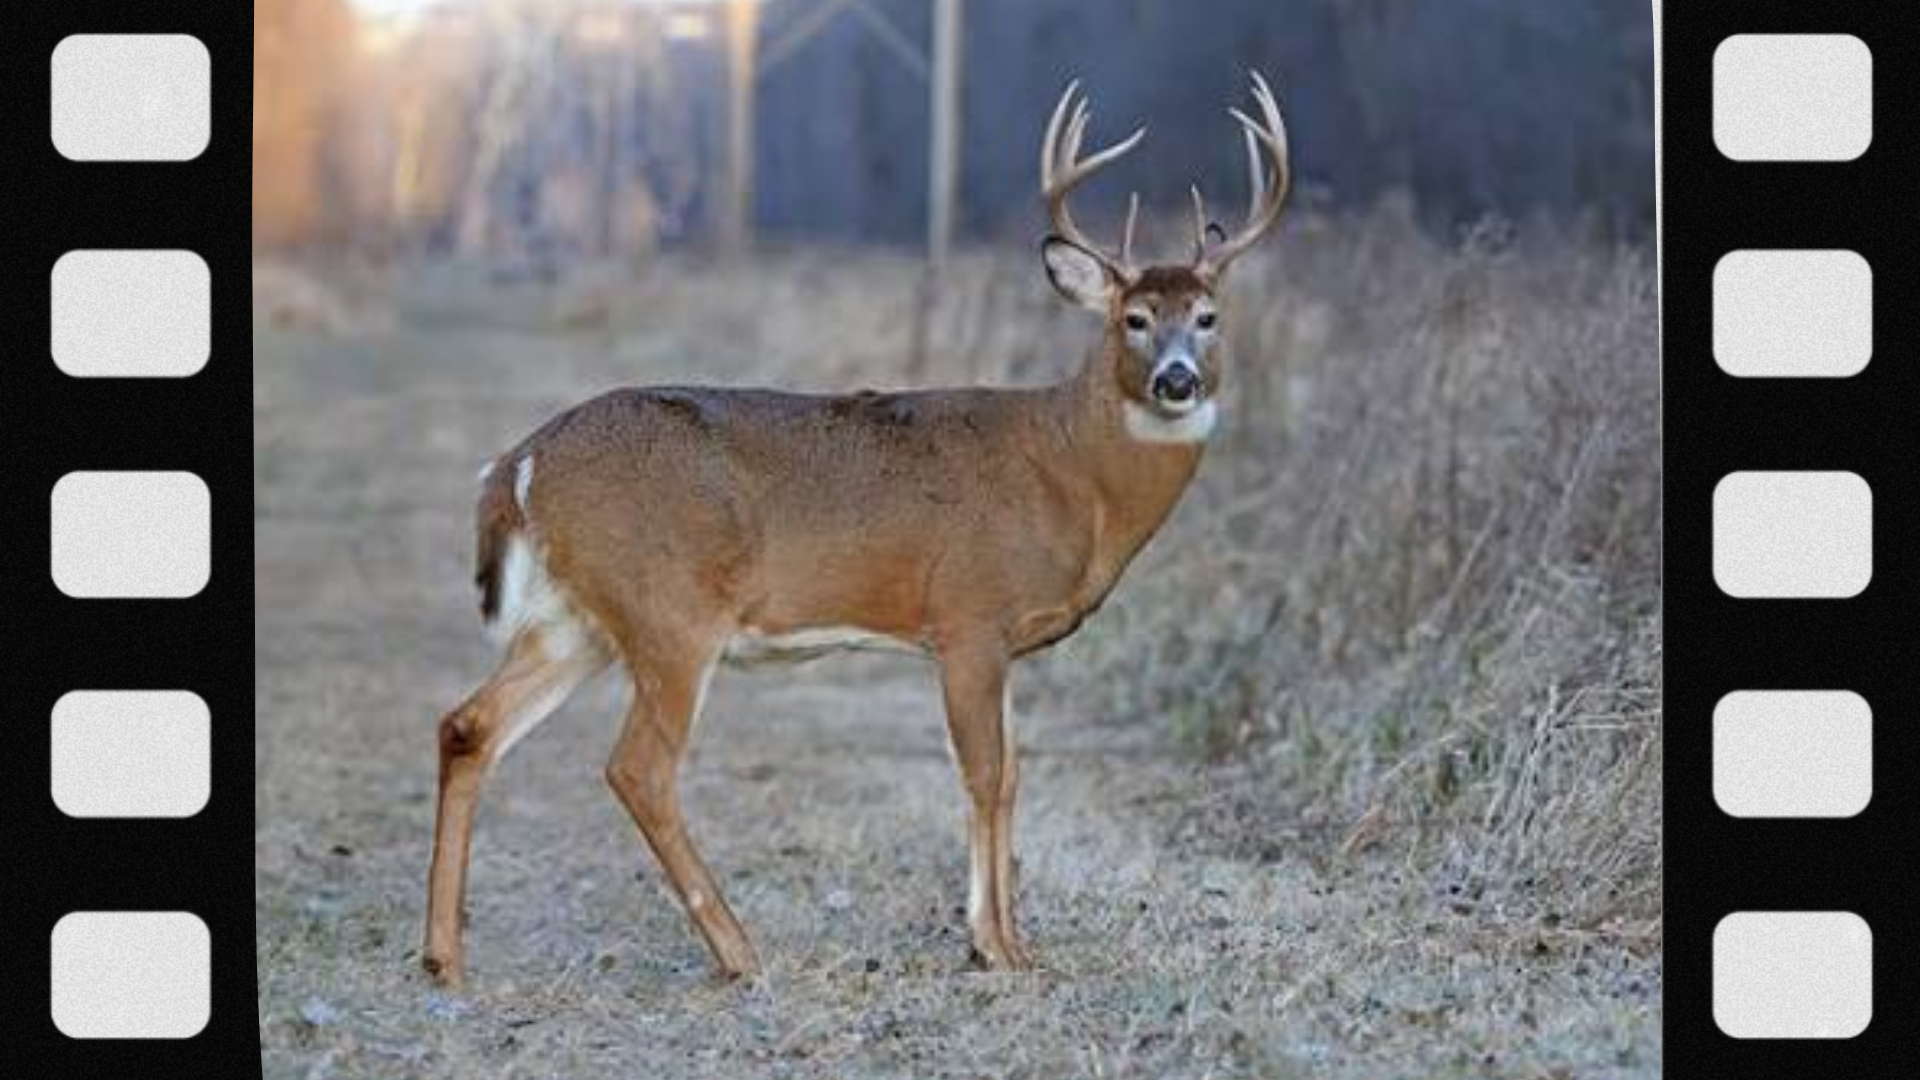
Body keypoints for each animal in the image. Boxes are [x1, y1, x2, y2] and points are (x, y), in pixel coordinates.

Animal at [423, 73, 1290, 987]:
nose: (1176, 380)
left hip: (576, 620)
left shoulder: (1001, 642)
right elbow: (986, 774)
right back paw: (739, 951)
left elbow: (1010, 775)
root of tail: (519, 462)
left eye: (1208, 316)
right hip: (668, 610)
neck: (1069, 470)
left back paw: (443, 955)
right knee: (638, 768)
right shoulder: (969, 617)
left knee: (469, 726)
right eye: (1133, 318)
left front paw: (1007, 941)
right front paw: (995, 944)